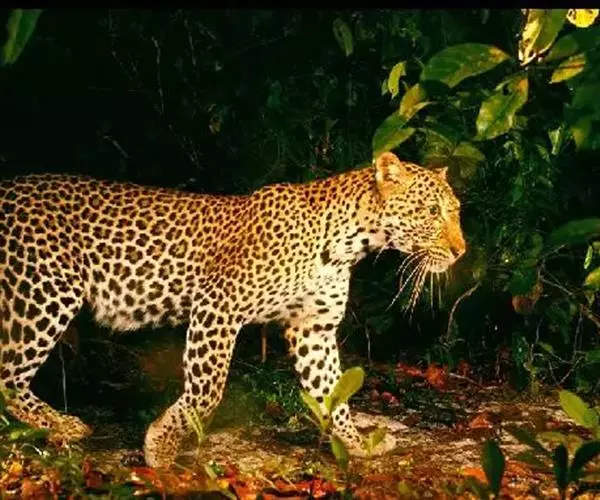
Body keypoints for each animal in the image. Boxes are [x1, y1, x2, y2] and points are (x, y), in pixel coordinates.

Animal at [0, 152, 465, 468]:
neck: (347, 243)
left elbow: (332, 393)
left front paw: (356, 442)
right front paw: (161, 446)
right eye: (431, 211)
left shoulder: (313, 327)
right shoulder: (218, 305)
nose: (461, 252)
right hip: (44, 291)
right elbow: (207, 391)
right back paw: (60, 424)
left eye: (456, 212)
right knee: (8, 376)